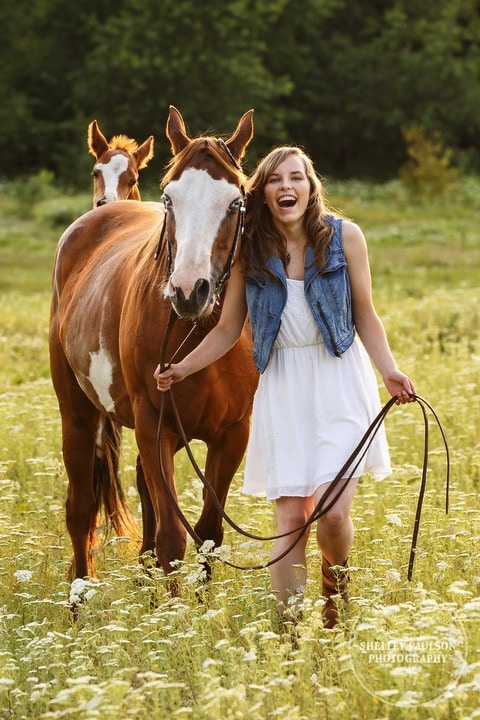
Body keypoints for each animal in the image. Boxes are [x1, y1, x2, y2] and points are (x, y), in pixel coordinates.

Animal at [50, 105, 258, 580]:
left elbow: (209, 534)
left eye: (235, 202)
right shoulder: (154, 425)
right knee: (81, 510)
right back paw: (79, 595)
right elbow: (172, 539)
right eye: (169, 199)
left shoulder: (233, 434)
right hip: (77, 412)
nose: (189, 291)